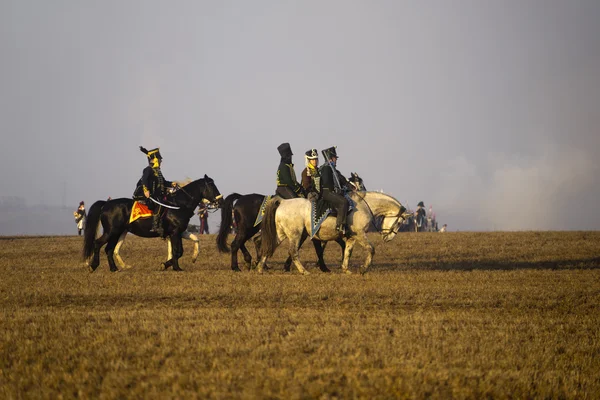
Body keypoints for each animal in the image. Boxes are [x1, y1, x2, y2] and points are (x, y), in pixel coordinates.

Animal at [84, 175, 223, 272]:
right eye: (212, 186)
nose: (220, 202)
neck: (179, 204)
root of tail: (106, 204)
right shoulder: (175, 233)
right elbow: (177, 251)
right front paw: (173, 267)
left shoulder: (179, 232)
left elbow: (192, 242)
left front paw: (187, 260)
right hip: (111, 232)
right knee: (98, 244)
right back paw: (93, 266)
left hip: (117, 233)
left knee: (109, 249)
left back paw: (114, 269)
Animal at [216, 172, 366, 272]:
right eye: (358, 181)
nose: (362, 191)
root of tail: (240, 198)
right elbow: (320, 247)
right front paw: (324, 266)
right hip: (246, 228)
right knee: (237, 243)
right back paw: (237, 267)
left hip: (250, 229)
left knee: (248, 242)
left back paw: (254, 262)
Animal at [255, 191, 406, 276]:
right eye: (399, 223)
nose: (388, 237)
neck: (364, 205)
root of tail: (283, 201)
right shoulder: (360, 234)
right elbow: (371, 249)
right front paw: (363, 269)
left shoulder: (351, 237)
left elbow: (348, 252)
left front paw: (346, 270)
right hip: (295, 234)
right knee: (293, 252)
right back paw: (304, 271)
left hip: (281, 234)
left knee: (268, 247)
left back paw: (260, 269)